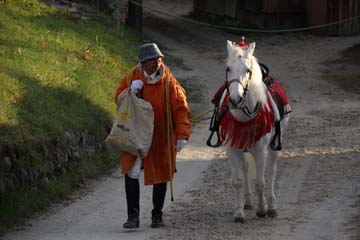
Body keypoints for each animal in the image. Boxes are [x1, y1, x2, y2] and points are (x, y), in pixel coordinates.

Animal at [221, 40, 292, 222]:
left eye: (247, 70)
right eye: (228, 68)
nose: (235, 99)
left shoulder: (260, 150)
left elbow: (261, 182)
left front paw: (262, 210)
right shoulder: (232, 148)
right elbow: (237, 180)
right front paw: (239, 213)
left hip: (275, 146)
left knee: (272, 172)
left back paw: (272, 207)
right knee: (246, 168)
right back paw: (247, 202)